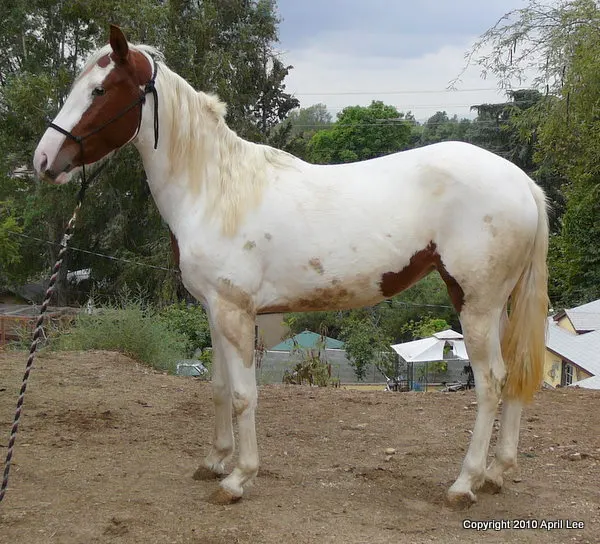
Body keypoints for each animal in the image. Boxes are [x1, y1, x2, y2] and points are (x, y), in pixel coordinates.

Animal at [32, 25, 548, 506]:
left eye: (100, 90)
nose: (43, 160)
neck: (217, 192)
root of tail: (522, 182)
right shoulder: (215, 311)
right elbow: (219, 387)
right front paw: (215, 461)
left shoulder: (236, 312)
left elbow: (244, 394)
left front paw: (238, 479)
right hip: (496, 306)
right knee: (512, 376)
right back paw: (496, 473)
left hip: (475, 304)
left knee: (490, 382)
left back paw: (465, 483)